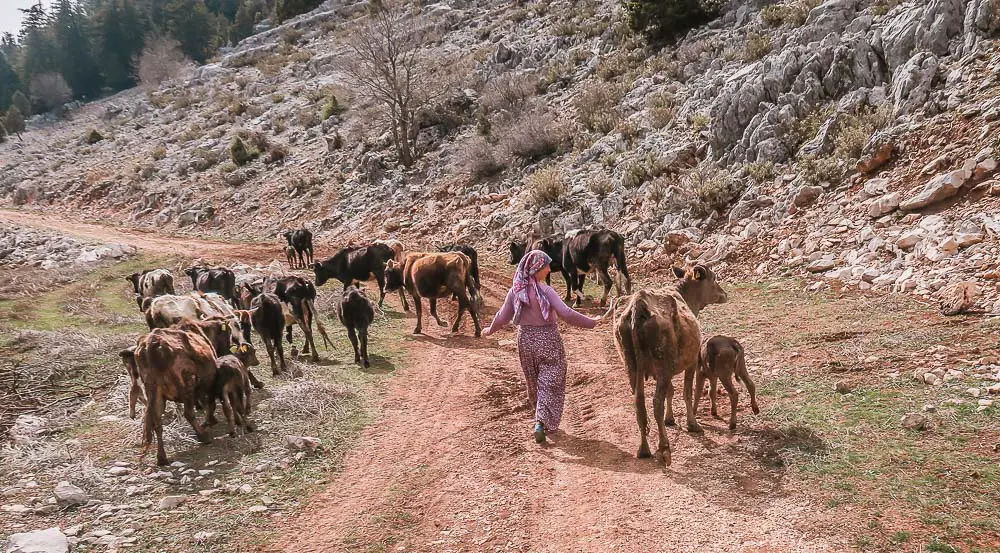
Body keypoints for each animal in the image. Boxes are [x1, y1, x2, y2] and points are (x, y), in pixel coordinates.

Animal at [608, 266, 728, 464]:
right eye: (713, 278)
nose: (724, 294)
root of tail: (638, 306)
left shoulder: (666, 370)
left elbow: (670, 391)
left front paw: (670, 419)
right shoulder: (690, 361)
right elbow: (686, 392)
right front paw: (692, 423)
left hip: (631, 366)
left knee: (639, 402)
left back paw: (644, 449)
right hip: (662, 364)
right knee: (656, 402)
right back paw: (664, 447)